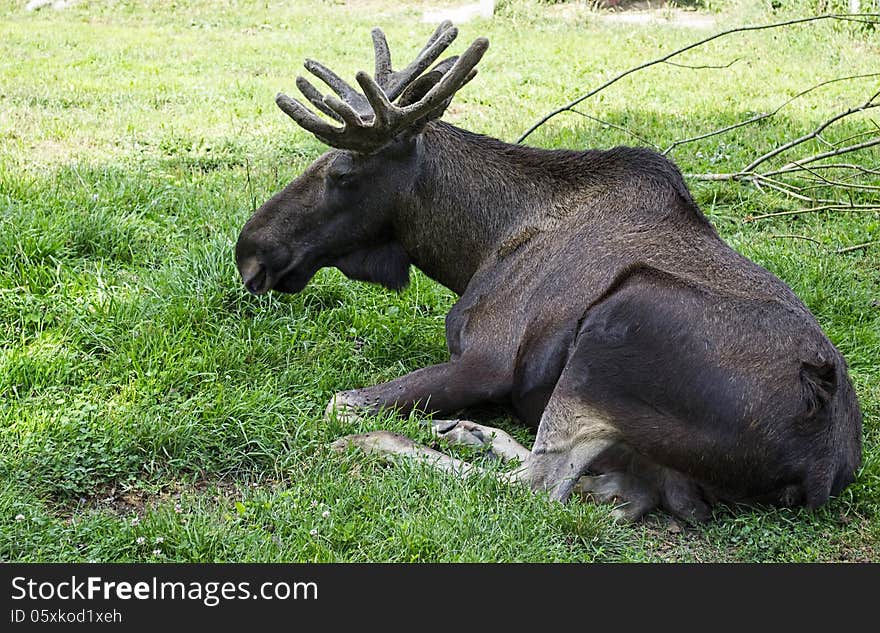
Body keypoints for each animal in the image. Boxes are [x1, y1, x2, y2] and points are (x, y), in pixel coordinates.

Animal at [237, 22, 864, 520]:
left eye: (342, 173)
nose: (250, 252)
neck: (477, 248)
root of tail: (820, 464)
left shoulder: (486, 361)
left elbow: (338, 402)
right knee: (604, 486)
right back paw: (468, 431)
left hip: (614, 327)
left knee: (537, 485)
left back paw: (379, 442)